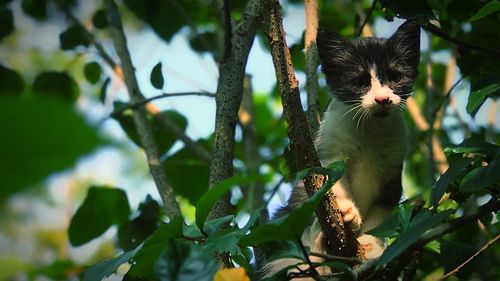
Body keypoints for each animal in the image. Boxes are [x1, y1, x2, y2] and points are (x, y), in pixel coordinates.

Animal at [264, 20, 420, 278]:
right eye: (360, 83)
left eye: (395, 77)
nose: (382, 99)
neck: (370, 130)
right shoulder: (330, 150)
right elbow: (330, 178)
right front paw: (347, 210)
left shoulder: (393, 167)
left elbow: (382, 212)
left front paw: (371, 245)